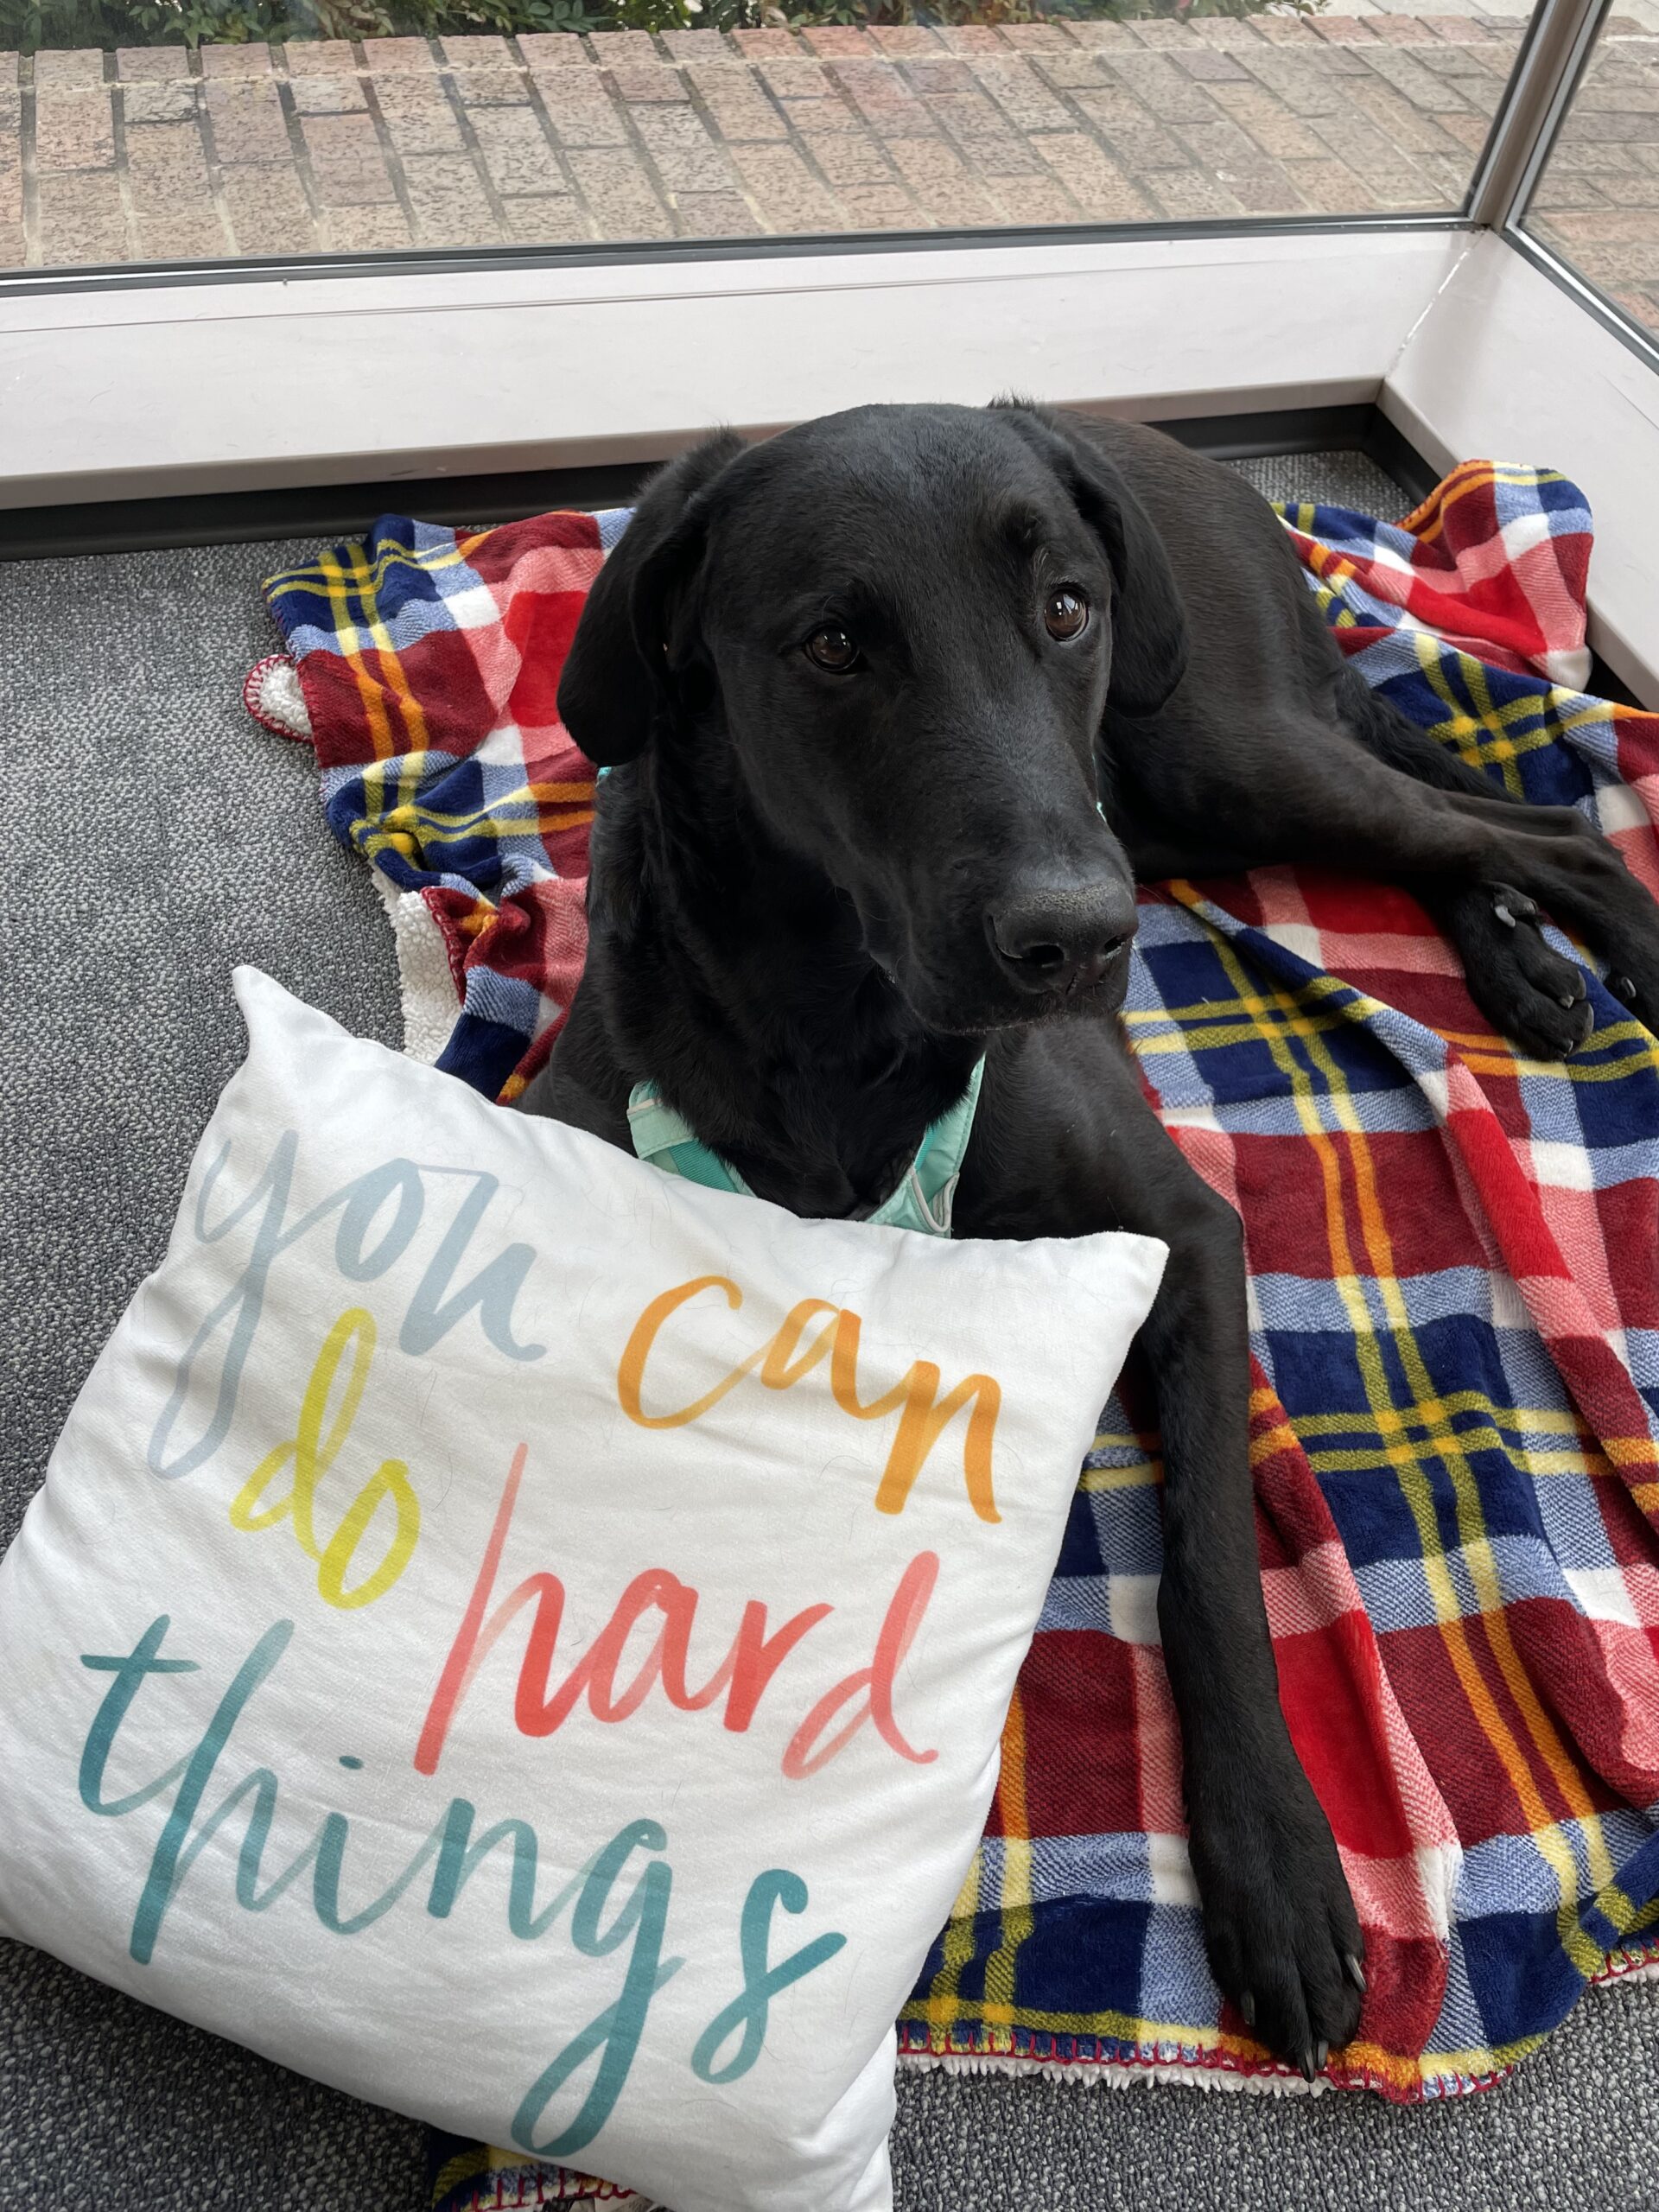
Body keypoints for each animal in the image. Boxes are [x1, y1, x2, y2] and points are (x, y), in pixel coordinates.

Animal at [518, 401, 1659, 2077]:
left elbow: (1211, 1572)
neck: (840, 1019)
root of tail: (1154, 442)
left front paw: (1277, 1867)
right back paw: (1520, 967)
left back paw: (1612, 942)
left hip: (1216, 752)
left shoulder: (1183, 1230)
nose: (1075, 940)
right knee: (1482, 837)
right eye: (835, 645)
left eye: (1065, 610)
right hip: (1192, 809)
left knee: (1542, 825)